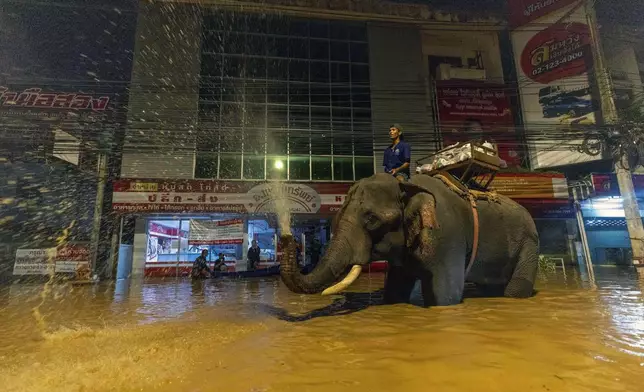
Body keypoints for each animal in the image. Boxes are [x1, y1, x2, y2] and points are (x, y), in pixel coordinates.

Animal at [280, 172, 540, 306]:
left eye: (372, 219)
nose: (286, 236)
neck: (407, 184)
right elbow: (395, 290)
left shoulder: (447, 235)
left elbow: (446, 296)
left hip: (529, 243)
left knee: (515, 289)